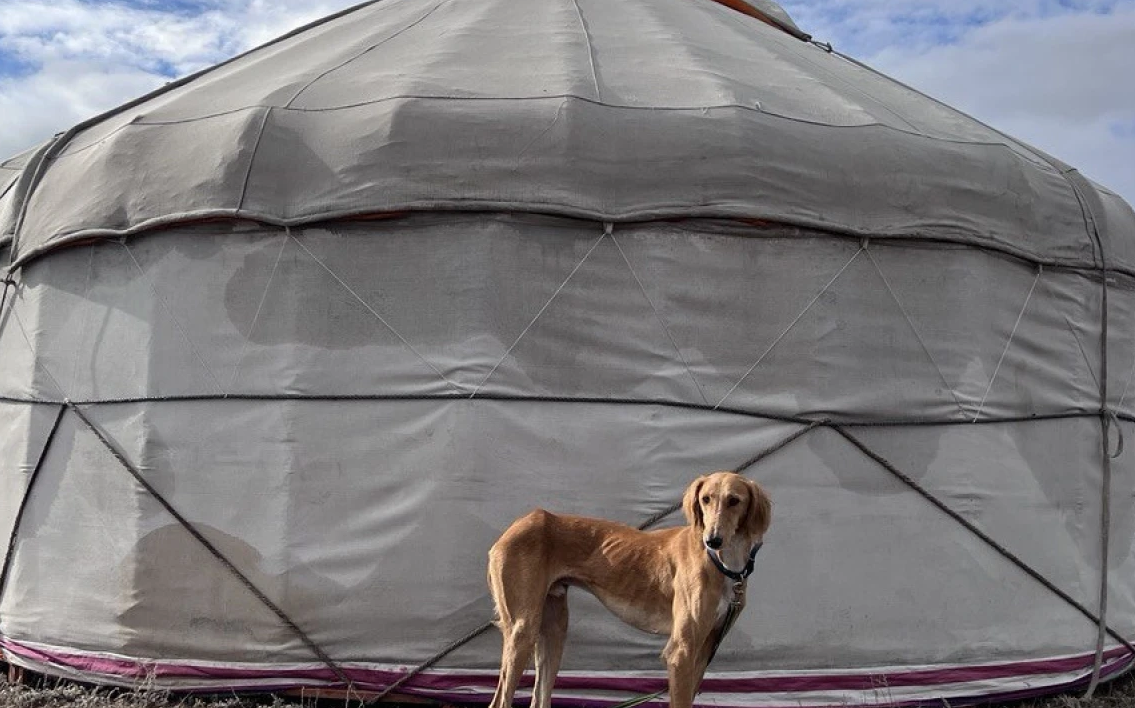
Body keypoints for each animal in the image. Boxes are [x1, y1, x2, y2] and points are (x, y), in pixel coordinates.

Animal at [488, 469, 771, 708]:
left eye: (734, 500)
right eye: (706, 499)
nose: (712, 540)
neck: (722, 563)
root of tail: (517, 525)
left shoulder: (704, 651)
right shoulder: (681, 652)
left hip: (553, 628)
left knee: (539, 698)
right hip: (523, 628)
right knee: (500, 701)